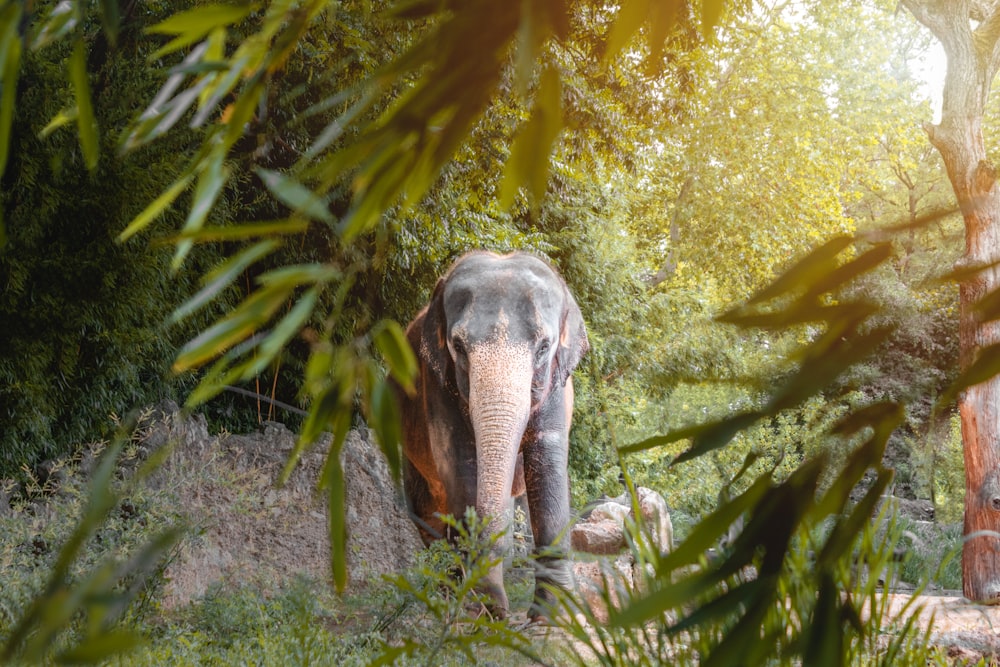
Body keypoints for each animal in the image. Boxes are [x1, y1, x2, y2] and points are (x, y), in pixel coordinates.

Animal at [396, 250, 584, 620]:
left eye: (544, 346)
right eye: (458, 346)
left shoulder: (556, 385)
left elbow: (547, 461)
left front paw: (554, 615)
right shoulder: (437, 382)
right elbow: (460, 461)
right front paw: (481, 610)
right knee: (427, 514)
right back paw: (443, 601)